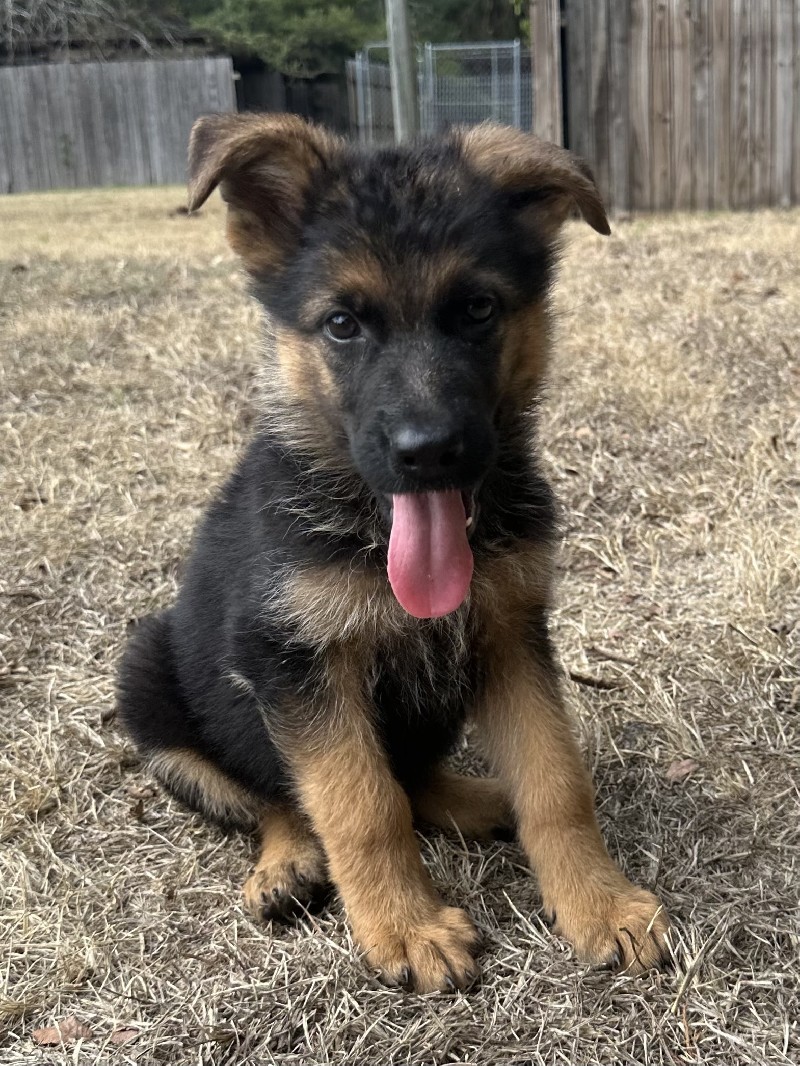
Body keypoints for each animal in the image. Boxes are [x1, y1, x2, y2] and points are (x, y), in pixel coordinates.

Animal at [117, 116, 669, 989]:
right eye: (342, 324)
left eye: (477, 309)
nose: (429, 451)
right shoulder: (296, 661)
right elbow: (359, 802)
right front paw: (404, 927)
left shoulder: (510, 634)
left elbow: (555, 780)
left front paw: (597, 902)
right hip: (150, 683)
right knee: (276, 795)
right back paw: (287, 862)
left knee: (414, 778)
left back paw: (482, 801)